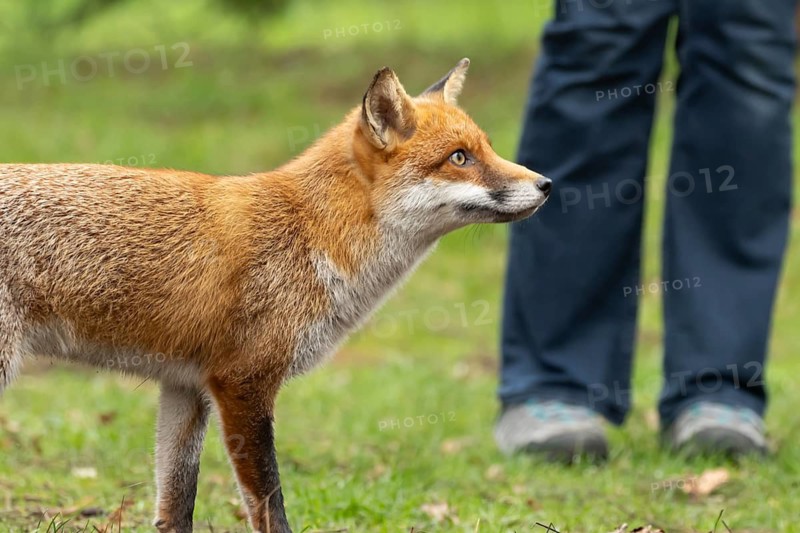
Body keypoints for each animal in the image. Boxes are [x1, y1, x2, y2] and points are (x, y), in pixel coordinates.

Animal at [0, 58, 551, 532]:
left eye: (488, 148)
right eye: (460, 158)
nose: (547, 183)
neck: (309, 234)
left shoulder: (186, 387)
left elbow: (177, 505)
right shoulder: (243, 382)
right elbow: (271, 506)